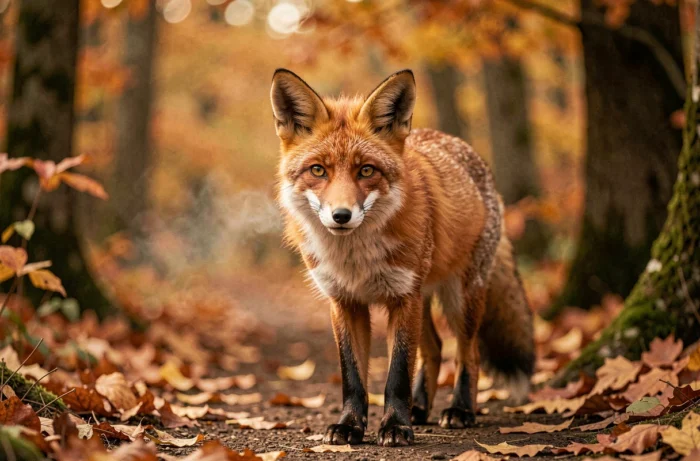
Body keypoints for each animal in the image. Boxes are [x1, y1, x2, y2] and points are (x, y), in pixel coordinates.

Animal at [270, 68, 535, 447]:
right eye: (318, 170)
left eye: (366, 171)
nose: (341, 216)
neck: (355, 259)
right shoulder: (345, 302)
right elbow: (353, 376)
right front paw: (350, 426)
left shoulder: (402, 298)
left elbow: (397, 372)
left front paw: (395, 426)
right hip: (424, 299)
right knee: (434, 349)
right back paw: (421, 408)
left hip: (460, 298)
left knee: (468, 353)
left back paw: (460, 410)